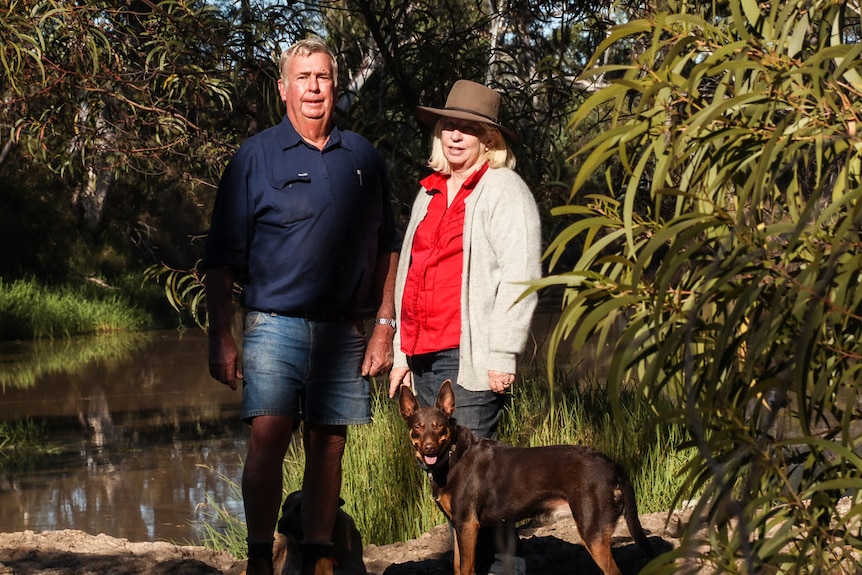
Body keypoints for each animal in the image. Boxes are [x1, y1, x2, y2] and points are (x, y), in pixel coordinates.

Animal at [398, 378, 656, 575]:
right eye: (418, 427)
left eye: (439, 426)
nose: (429, 448)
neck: (451, 456)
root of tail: (612, 463)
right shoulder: (457, 524)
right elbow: (457, 567)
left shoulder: (468, 524)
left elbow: (467, 569)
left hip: (592, 531)